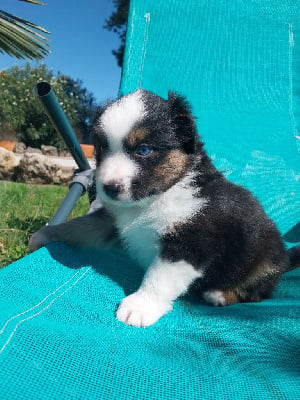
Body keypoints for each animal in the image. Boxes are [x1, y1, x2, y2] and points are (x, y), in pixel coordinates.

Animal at [29, 90, 300, 328]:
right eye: (102, 148)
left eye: (144, 149)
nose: (109, 188)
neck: (158, 196)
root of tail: (285, 258)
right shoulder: (112, 220)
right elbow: (80, 226)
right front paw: (45, 234)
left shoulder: (191, 240)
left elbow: (159, 277)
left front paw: (140, 307)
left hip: (263, 264)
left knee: (258, 292)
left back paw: (220, 294)